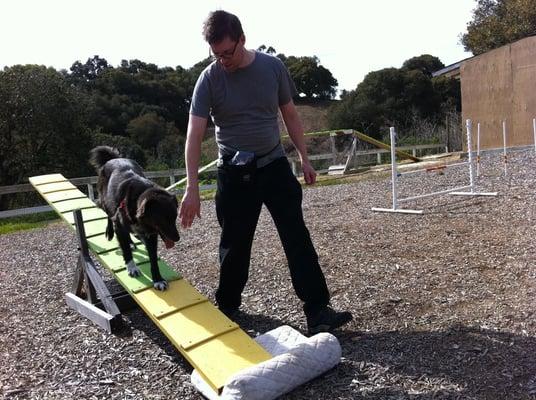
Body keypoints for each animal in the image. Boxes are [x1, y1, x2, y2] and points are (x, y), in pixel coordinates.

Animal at [89, 145, 179, 290]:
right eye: (163, 219)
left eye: (175, 218)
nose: (177, 238)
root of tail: (114, 158)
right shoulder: (119, 225)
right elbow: (125, 250)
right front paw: (132, 268)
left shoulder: (151, 234)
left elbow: (153, 258)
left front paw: (157, 279)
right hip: (105, 200)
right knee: (109, 216)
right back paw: (110, 232)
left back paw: (131, 242)